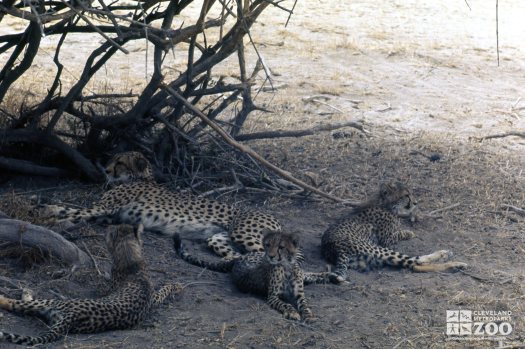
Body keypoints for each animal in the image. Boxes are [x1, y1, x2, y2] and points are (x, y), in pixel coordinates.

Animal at [0, 223, 176, 346]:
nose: (107, 228)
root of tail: (71, 319)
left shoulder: (108, 291)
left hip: (54, 302)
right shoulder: (153, 299)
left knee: (15, 303)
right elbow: (163, 290)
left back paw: (17, 293)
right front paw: (176, 285)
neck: (129, 252)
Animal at [41, 152, 280, 258]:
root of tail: (273, 218)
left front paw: (49, 218)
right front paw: (46, 209)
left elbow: (73, 211)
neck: (140, 178)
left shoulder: (102, 209)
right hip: (218, 238)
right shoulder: (107, 215)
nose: (106, 170)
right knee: (241, 256)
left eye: (120, 162)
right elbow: (69, 209)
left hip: (244, 234)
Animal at [172, 230, 336, 320]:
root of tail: (238, 260)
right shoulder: (272, 296)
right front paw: (293, 313)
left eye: (281, 247)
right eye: (268, 244)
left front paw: (308, 316)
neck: (287, 266)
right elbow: (286, 304)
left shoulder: (299, 293)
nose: (270, 256)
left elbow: (305, 304)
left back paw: (333, 276)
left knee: (307, 274)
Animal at [320, 181, 466, 278]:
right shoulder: (386, 241)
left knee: (413, 265)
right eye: (406, 195)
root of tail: (333, 249)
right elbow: (398, 233)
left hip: (371, 260)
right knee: (415, 261)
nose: (415, 202)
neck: (385, 204)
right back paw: (451, 260)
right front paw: (408, 232)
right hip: (380, 250)